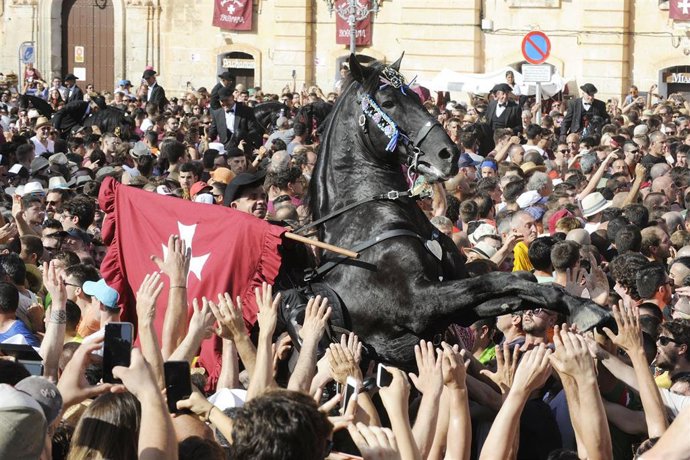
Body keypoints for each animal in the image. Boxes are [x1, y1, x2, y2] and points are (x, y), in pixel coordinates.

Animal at [303, 54, 611, 366]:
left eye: (417, 96)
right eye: (388, 102)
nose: (449, 154)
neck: (370, 217)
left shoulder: (458, 307)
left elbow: (513, 289)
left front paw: (577, 303)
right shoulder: (419, 304)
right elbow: (501, 278)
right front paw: (580, 306)